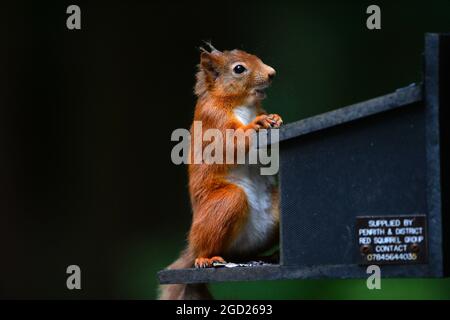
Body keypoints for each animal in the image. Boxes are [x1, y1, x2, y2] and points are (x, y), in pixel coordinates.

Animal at [160, 44, 284, 300]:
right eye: (239, 69)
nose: (272, 73)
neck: (241, 104)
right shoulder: (213, 119)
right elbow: (229, 144)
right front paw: (257, 124)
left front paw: (275, 118)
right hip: (224, 203)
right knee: (207, 245)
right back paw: (206, 258)